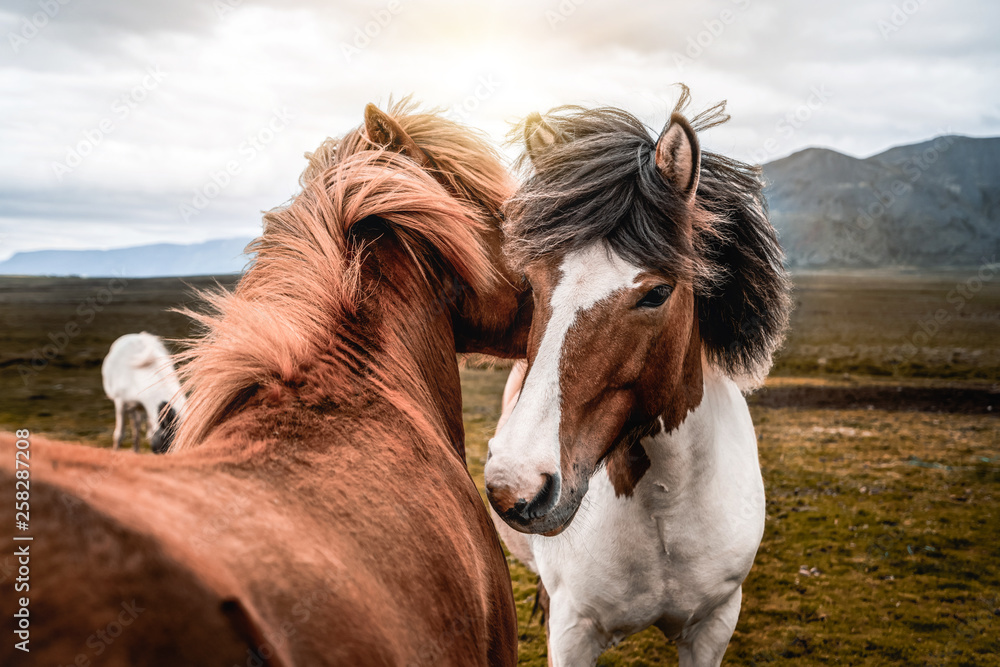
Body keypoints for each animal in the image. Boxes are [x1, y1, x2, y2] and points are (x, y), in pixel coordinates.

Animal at [488, 90, 792, 667]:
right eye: (531, 284)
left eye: (656, 292)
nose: (515, 487)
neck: (664, 509)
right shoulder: (572, 633)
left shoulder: (713, 625)